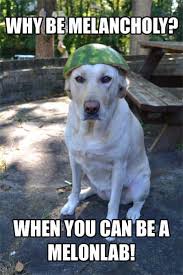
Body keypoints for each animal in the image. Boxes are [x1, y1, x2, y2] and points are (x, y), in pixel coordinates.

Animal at [60, 63, 151, 237]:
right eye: (79, 78)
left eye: (106, 79)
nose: (91, 108)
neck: (91, 131)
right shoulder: (73, 160)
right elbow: (75, 187)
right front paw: (72, 204)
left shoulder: (119, 167)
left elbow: (114, 202)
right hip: (89, 176)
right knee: (92, 189)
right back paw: (84, 193)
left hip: (141, 184)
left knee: (140, 201)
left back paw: (134, 212)